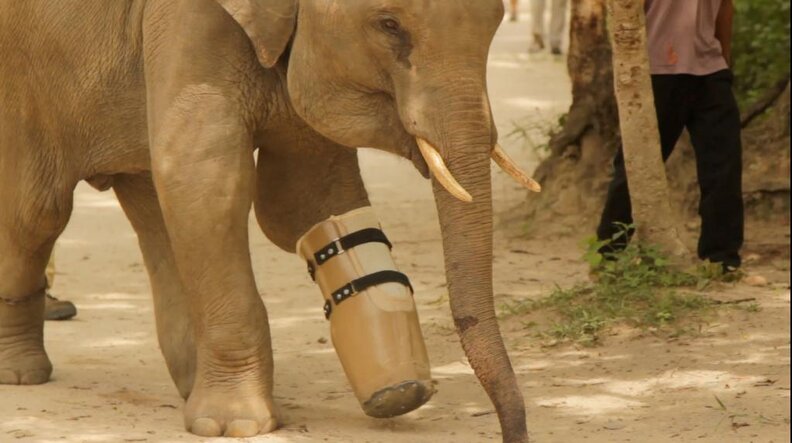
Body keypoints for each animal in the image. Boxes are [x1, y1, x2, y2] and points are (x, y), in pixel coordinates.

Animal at [0, 0, 537, 441]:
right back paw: (22, 374)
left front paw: (399, 394)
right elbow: (206, 177)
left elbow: (304, 196)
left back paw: (190, 382)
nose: (513, 434)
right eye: (389, 25)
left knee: (151, 202)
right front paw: (236, 426)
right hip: (24, 83)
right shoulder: (188, 20)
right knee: (37, 213)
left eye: (496, 21)